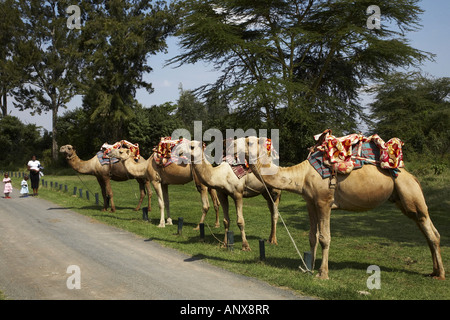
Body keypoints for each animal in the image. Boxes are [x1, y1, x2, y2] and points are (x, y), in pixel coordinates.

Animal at [244, 136, 444, 278]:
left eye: (248, 141)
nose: (234, 146)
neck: (302, 176)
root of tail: (413, 177)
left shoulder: (324, 201)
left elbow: (325, 237)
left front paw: (322, 274)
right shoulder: (310, 202)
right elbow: (312, 237)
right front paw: (309, 267)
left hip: (409, 192)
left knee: (431, 231)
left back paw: (440, 274)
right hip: (401, 199)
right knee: (425, 230)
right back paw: (433, 271)